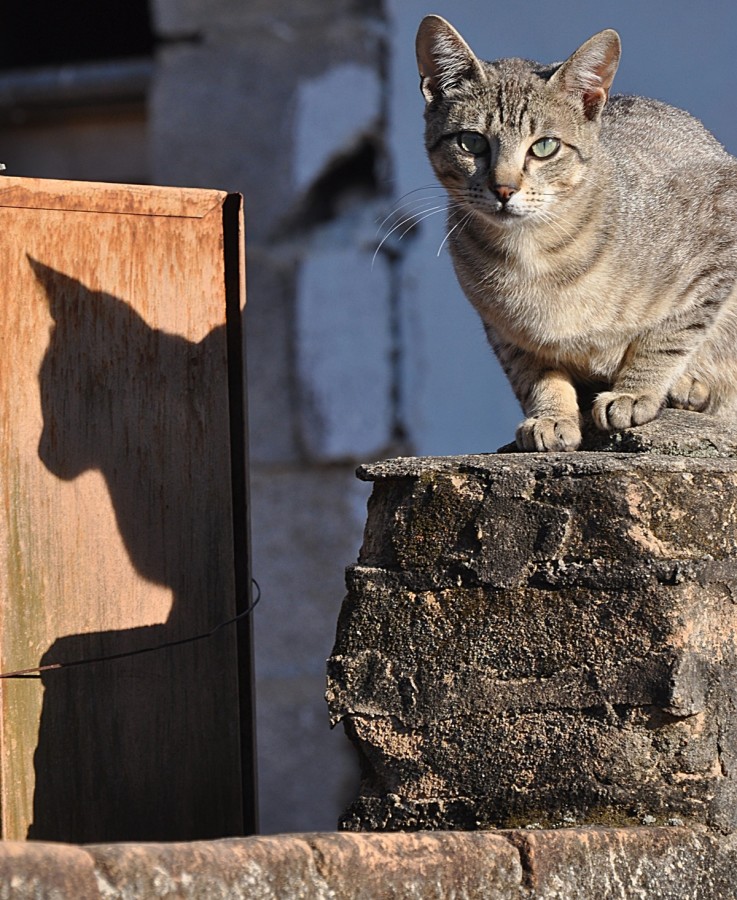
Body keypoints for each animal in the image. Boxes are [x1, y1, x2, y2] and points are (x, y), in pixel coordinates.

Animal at [414, 14, 736, 450]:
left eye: (545, 147)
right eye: (471, 142)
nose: (504, 189)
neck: (534, 254)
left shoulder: (717, 250)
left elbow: (669, 334)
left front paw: (635, 391)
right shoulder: (506, 329)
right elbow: (533, 373)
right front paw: (551, 415)